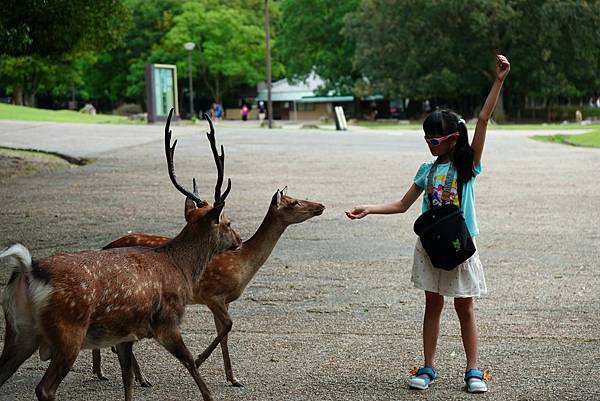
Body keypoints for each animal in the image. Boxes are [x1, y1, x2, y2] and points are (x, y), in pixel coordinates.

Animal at [0, 109, 241, 400]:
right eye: (228, 222)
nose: (239, 240)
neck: (180, 266)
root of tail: (26, 270)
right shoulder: (167, 321)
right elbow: (191, 363)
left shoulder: (126, 335)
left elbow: (127, 380)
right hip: (68, 330)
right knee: (44, 388)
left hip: (18, 331)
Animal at [92, 188, 324, 388]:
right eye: (294, 202)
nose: (321, 205)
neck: (243, 263)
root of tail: (104, 247)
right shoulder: (213, 294)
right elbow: (228, 326)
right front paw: (199, 360)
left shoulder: (225, 300)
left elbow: (224, 332)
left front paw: (233, 378)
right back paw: (137, 377)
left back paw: (107, 372)